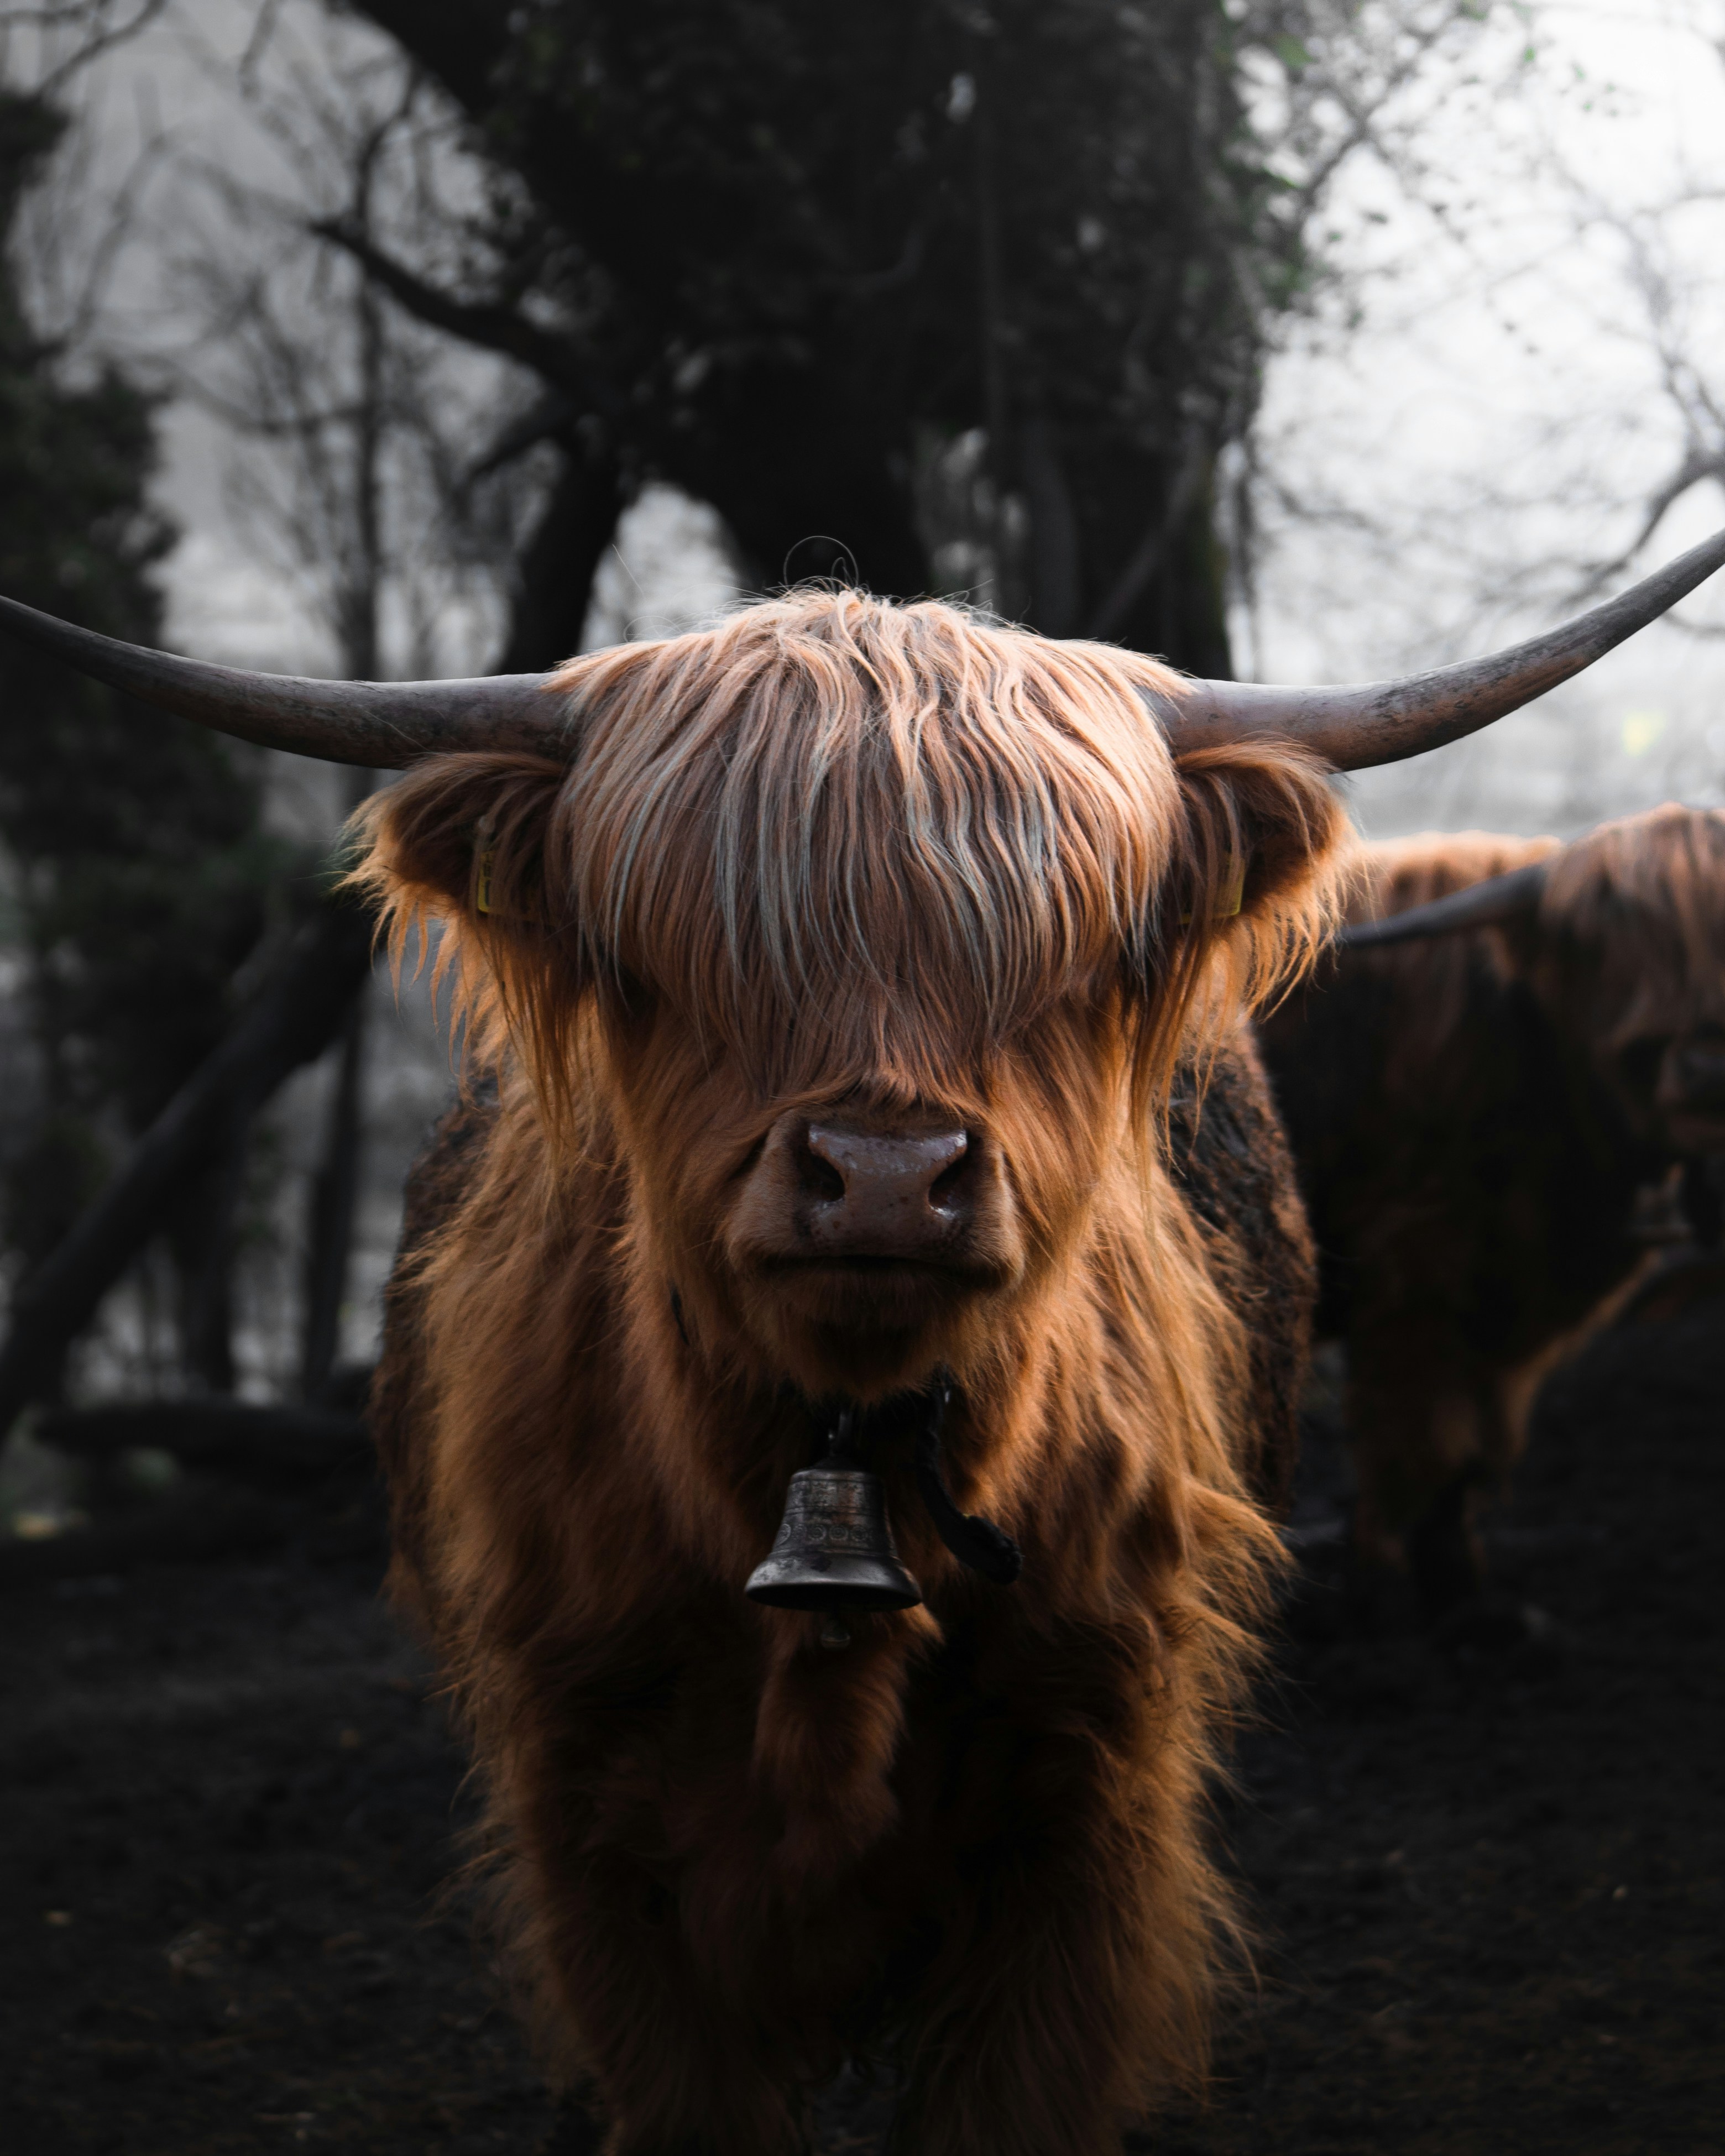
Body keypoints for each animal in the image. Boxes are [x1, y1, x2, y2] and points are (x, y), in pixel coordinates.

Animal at [1259, 803, 1725, 1623]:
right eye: (1610, 944)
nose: (1705, 1072)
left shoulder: (1510, 1305)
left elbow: (1480, 1443)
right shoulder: (1419, 1275)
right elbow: (1429, 1438)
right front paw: (1429, 1595)